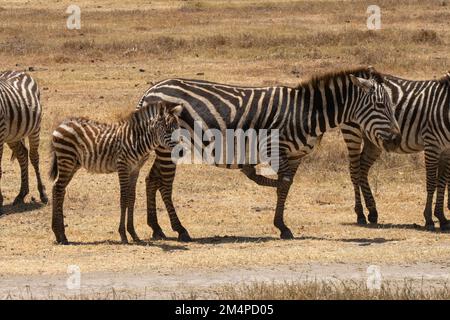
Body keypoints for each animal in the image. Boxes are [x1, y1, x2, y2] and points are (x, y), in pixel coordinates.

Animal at [0, 71, 47, 214]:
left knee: (34, 157)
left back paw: (43, 194)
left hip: (35, 128)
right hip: (12, 135)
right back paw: (22, 194)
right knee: (22, 155)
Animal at [49, 101, 183, 244]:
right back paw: (61, 235)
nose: (181, 152)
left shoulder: (135, 169)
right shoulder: (122, 166)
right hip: (66, 159)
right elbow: (123, 198)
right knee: (58, 189)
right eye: (168, 130)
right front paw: (123, 234)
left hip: (73, 163)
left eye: (178, 128)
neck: (137, 140)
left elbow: (131, 197)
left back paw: (58, 234)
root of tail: (62, 124)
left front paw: (133, 234)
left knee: (58, 189)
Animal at [136, 68, 400, 242]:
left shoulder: (295, 156)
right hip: (169, 146)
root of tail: (151, 90)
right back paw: (180, 230)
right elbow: (282, 185)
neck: (306, 113)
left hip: (165, 147)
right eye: (380, 105)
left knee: (152, 180)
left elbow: (286, 186)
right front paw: (281, 225)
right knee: (164, 184)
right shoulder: (277, 148)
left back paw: (157, 228)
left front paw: (281, 225)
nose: (397, 138)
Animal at [342, 70, 450, 230]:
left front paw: (442, 218)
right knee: (355, 171)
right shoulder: (432, 144)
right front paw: (429, 218)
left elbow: (441, 182)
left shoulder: (446, 150)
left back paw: (372, 211)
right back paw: (360, 214)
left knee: (362, 168)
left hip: (373, 140)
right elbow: (431, 182)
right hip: (352, 131)